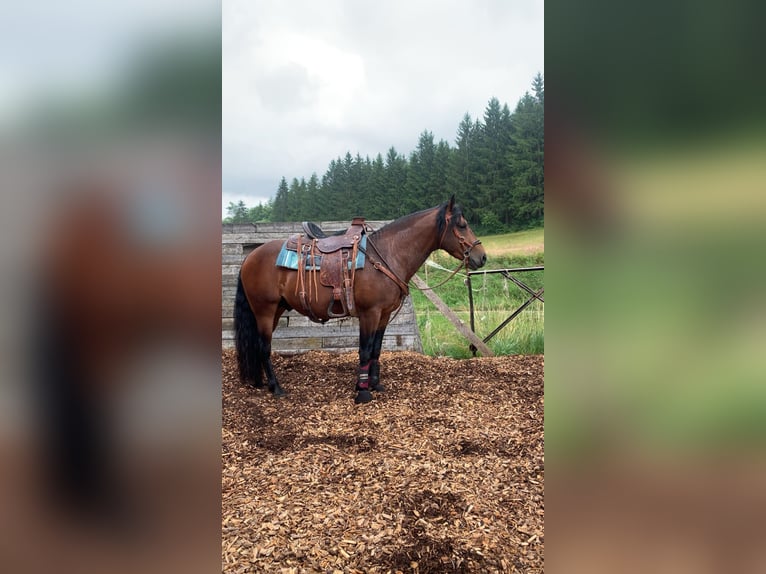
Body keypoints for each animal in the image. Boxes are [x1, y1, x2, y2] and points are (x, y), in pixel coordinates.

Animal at [234, 196, 487, 404]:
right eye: (462, 225)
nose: (482, 257)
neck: (386, 256)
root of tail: (250, 258)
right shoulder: (369, 313)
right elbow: (364, 350)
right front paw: (363, 392)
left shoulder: (384, 314)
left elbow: (375, 350)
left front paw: (374, 384)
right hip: (265, 310)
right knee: (264, 347)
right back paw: (276, 387)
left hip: (276, 310)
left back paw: (262, 382)